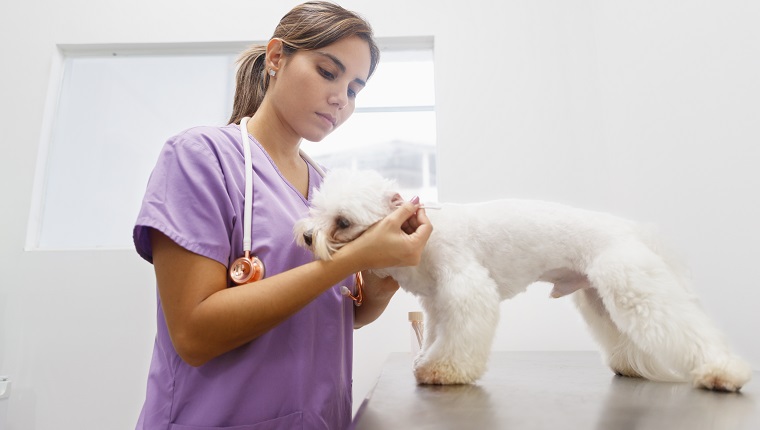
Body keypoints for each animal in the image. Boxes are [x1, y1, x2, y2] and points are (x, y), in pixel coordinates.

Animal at [294, 170, 752, 392]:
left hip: (633, 288)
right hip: (599, 297)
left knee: (687, 329)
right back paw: (631, 366)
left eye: (342, 222)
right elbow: (436, 333)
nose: (306, 235)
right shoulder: (437, 303)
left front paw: (444, 370)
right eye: (316, 209)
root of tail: (631, 228)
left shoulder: (465, 289)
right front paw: (426, 361)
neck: (422, 233)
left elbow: (459, 336)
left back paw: (723, 372)